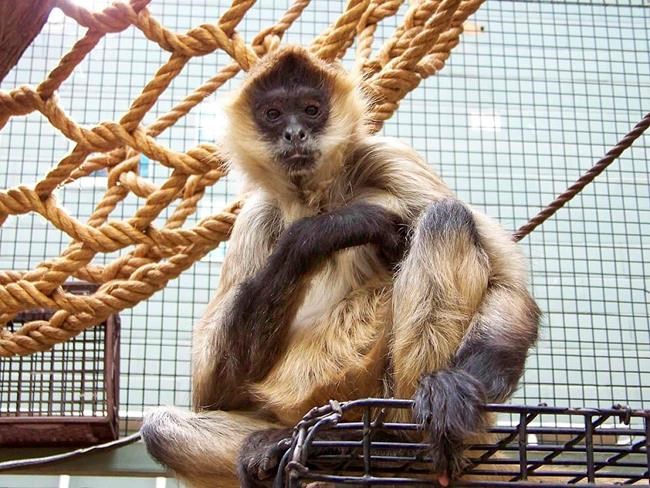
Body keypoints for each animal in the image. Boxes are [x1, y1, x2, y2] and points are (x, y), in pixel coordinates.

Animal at [140, 45, 541, 488]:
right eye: (273, 113)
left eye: (311, 109)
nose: (295, 133)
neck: (320, 196)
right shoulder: (258, 212)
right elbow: (211, 390)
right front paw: (334, 228)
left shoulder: (390, 156)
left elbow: (508, 283)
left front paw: (458, 386)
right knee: (160, 429)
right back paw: (290, 445)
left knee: (446, 217)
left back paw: (400, 444)